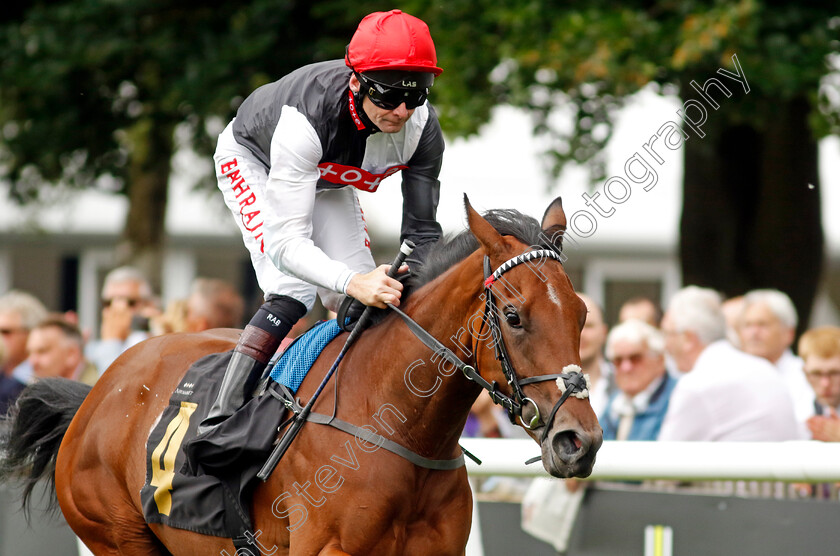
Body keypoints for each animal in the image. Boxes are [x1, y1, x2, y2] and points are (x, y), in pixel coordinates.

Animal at [1, 198, 604, 552]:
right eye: (514, 316)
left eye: (581, 314)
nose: (580, 441)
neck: (398, 426)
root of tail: (98, 389)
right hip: (116, 534)